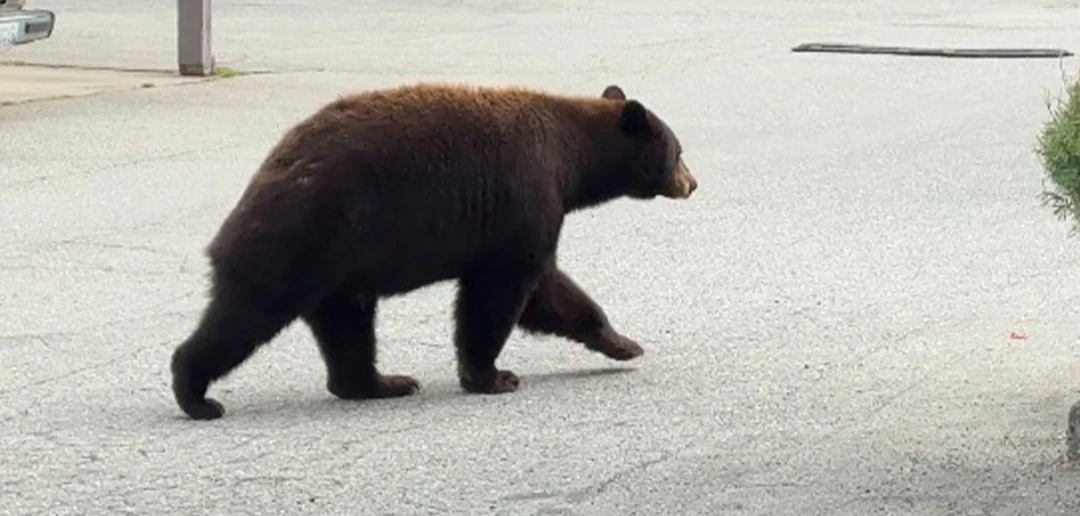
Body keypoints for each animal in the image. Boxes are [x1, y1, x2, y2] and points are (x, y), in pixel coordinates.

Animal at [169, 82, 698, 420]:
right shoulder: (524, 196)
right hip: (297, 241)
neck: (570, 156)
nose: (692, 183)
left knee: (346, 325)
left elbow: (550, 292)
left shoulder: (527, 217)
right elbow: (501, 293)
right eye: (679, 151)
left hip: (338, 264)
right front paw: (492, 376)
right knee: (245, 316)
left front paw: (622, 342)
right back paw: (196, 395)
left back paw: (382, 384)